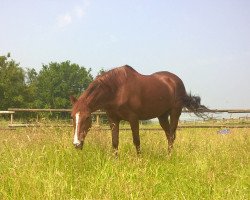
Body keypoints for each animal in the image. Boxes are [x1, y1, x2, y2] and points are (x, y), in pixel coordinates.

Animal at [70, 65, 207, 155]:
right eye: (72, 116)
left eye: (87, 117)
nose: (77, 144)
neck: (117, 90)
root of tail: (176, 81)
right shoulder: (113, 119)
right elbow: (115, 142)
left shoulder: (133, 118)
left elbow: (136, 141)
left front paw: (139, 161)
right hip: (162, 116)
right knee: (169, 135)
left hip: (175, 112)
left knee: (172, 136)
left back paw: (169, 157)